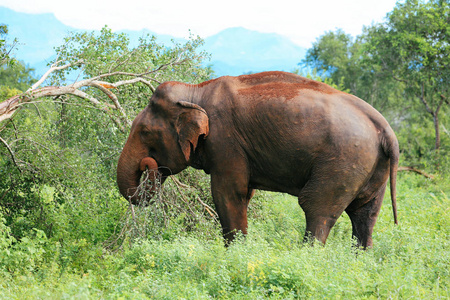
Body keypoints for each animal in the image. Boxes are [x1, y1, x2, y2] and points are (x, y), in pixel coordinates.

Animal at [116, 70, 398, 248]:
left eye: (144, 132)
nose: (148, 163)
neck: (196, 92)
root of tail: (386, 129)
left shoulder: (225, 141)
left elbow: (228, 193)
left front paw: (235, 255)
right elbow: (243, 194)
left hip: (342, 161)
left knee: (317, 209)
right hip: (371, 167)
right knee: (365, 215)